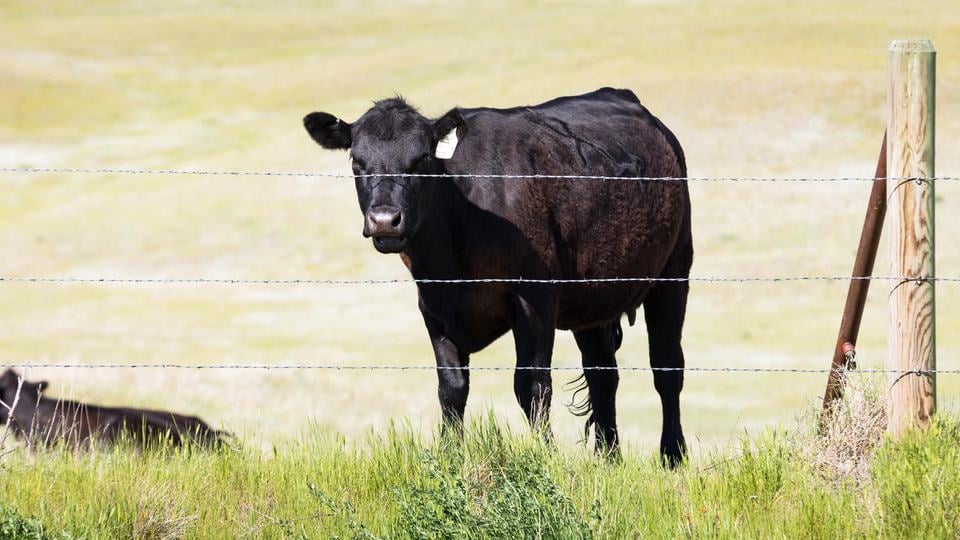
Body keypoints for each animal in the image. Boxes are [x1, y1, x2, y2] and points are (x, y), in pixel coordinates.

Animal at [303, 87, 692, 466]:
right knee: (603, 375)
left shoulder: (535, 298)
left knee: (667, 366)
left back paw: (673, 455)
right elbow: (452, 387)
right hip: (593, 300)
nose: (385, 220)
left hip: (674, 274)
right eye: (357, 162)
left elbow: (532, 385)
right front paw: (450, 457)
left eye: (422, 159)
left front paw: (544, 456)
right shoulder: (433, 307)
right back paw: (609, 458)